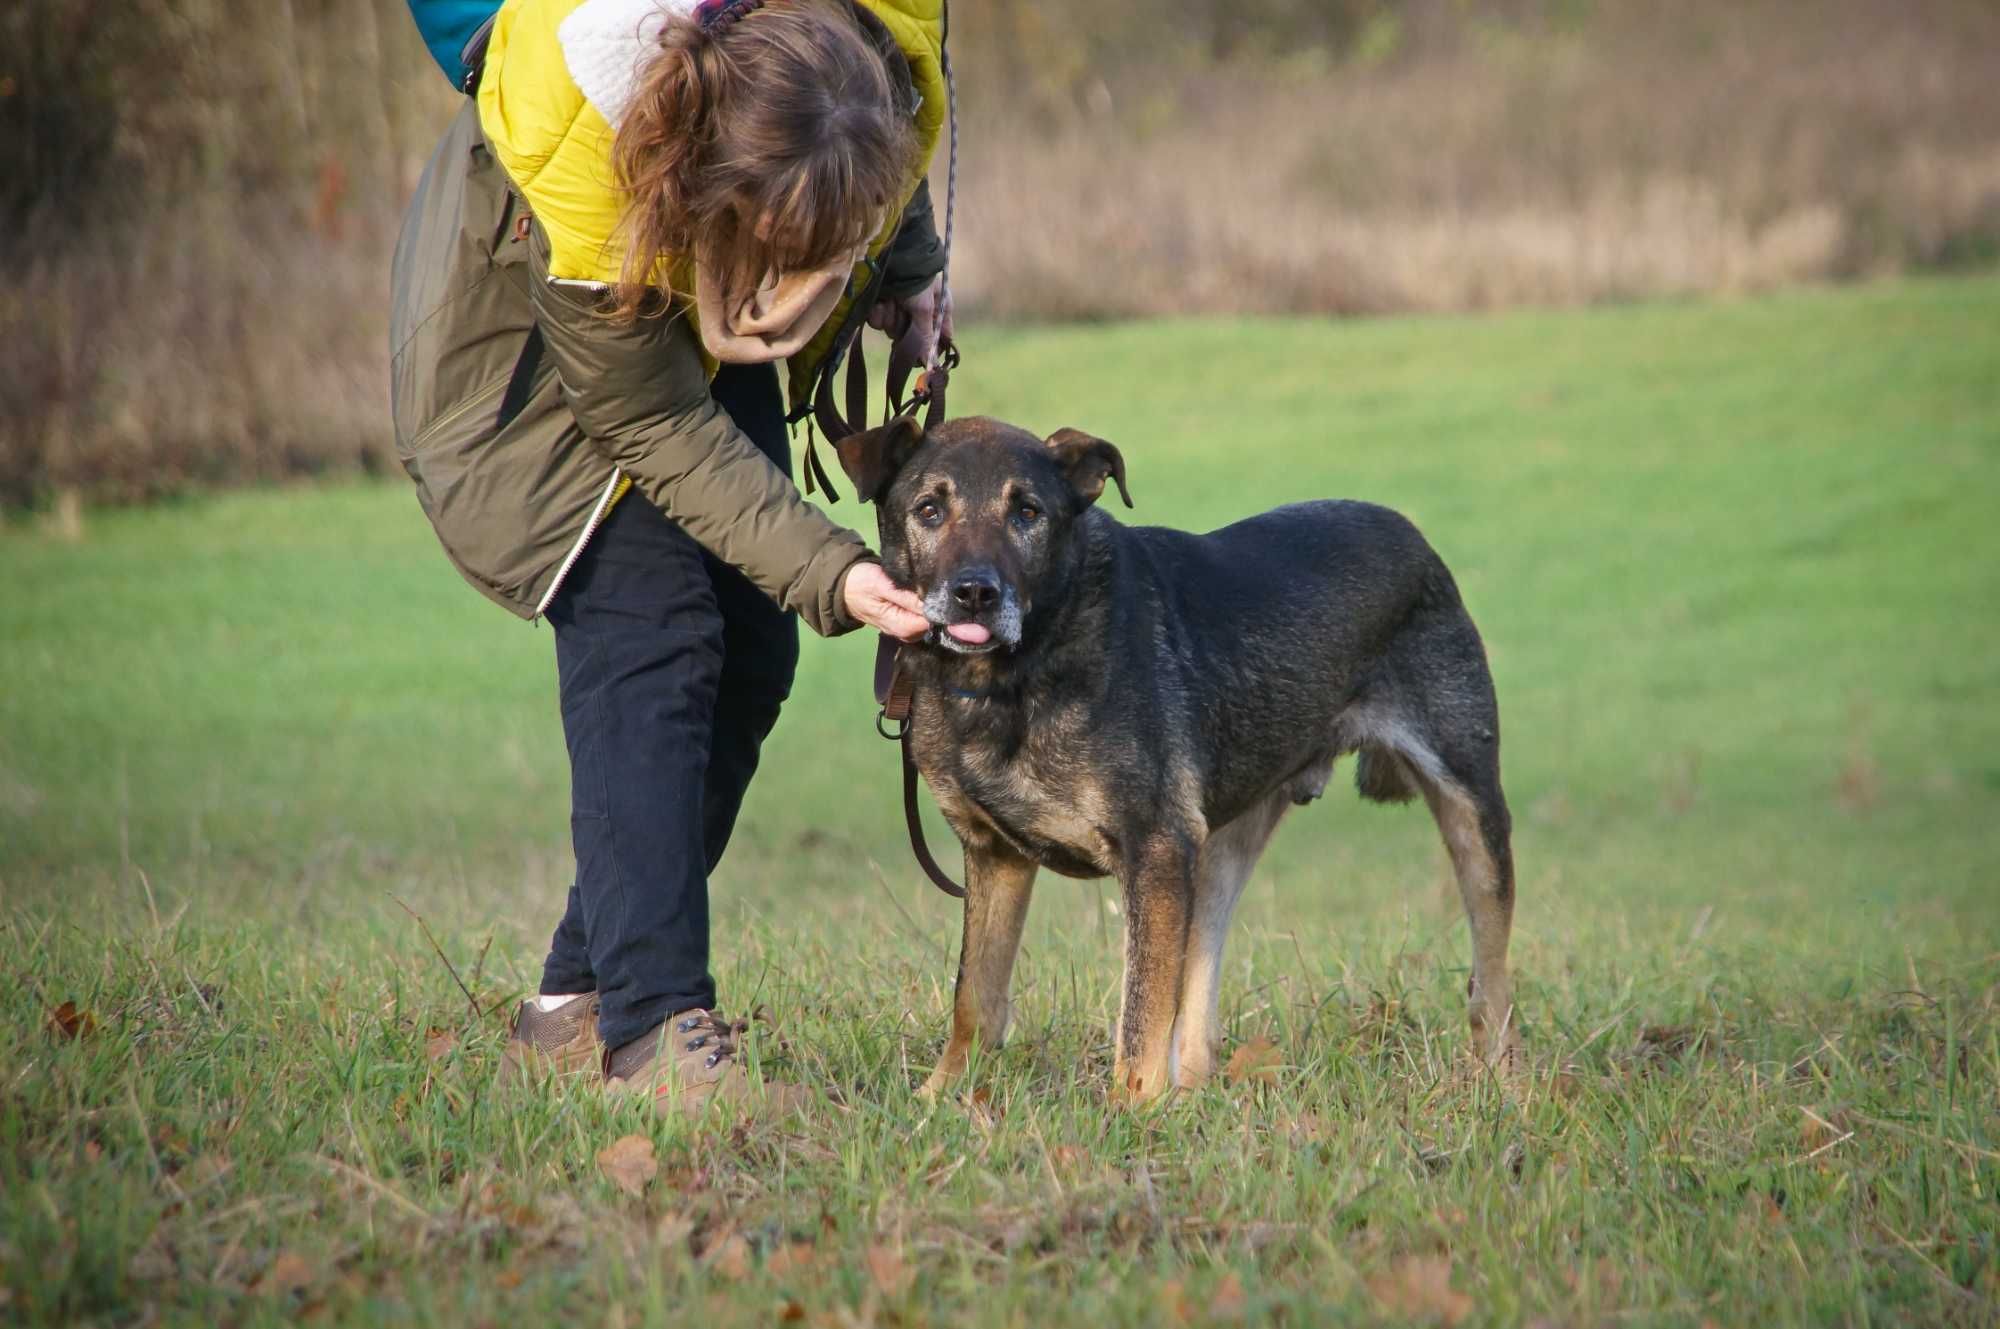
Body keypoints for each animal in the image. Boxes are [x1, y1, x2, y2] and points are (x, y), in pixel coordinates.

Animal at [832, 416, 1512, 1096]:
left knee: (1492, 973)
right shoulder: (997, 855)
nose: (975, 592)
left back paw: (1501, 1082)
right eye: (929, 510)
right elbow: (976, 993)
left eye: (1027, 512)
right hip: (1220, 844)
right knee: (1201, 997)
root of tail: (1410, 535)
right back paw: (1190, 1094)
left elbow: (1140, 1013)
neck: (1016, 672)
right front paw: (940, 1096)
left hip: (1469, 805)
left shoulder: (1154, 846)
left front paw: (1128, 1110)